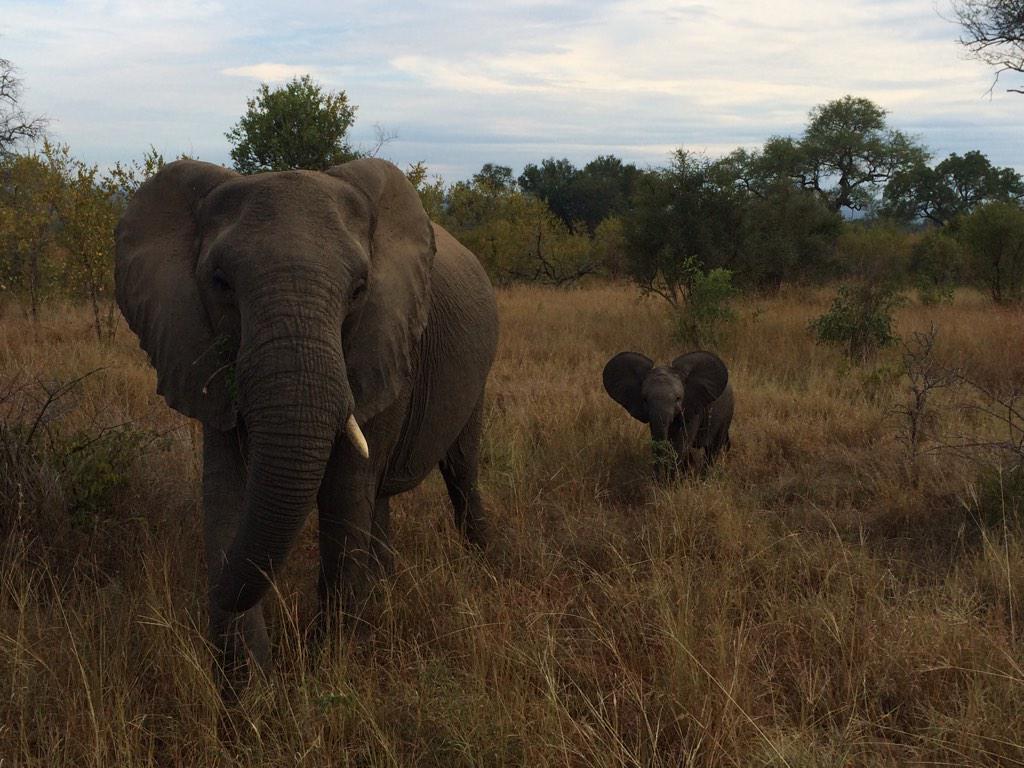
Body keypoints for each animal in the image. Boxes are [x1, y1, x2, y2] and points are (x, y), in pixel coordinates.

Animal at [115, 157, 498, 692]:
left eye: (359, 290)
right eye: (220, 283)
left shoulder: (386, 339)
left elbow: (344, 493)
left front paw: (327, 670)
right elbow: (225, 492)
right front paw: (247, 695)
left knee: (460, 471)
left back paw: (485, 567)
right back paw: (384, 587)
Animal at [603, 350, 733, 475]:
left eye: (678, 398)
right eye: (644, 399)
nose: (657, 477)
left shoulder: (692, 408)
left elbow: (681, 445)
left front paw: (673, 480)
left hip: (727, 413)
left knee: (713, 449)